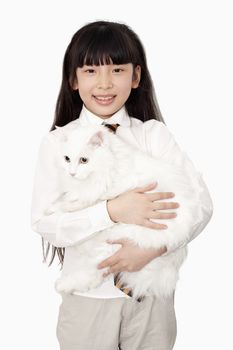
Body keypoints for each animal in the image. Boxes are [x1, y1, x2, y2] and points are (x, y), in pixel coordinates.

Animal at [46, 122, 201, 298]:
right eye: (67, 159)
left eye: (84, 160)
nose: (72, 173)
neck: (112, 163)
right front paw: (56, 206)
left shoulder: (109, 190)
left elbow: (88, 202)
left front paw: (59, 207)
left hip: (119, 240)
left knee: (97, 270)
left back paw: (65, 285)